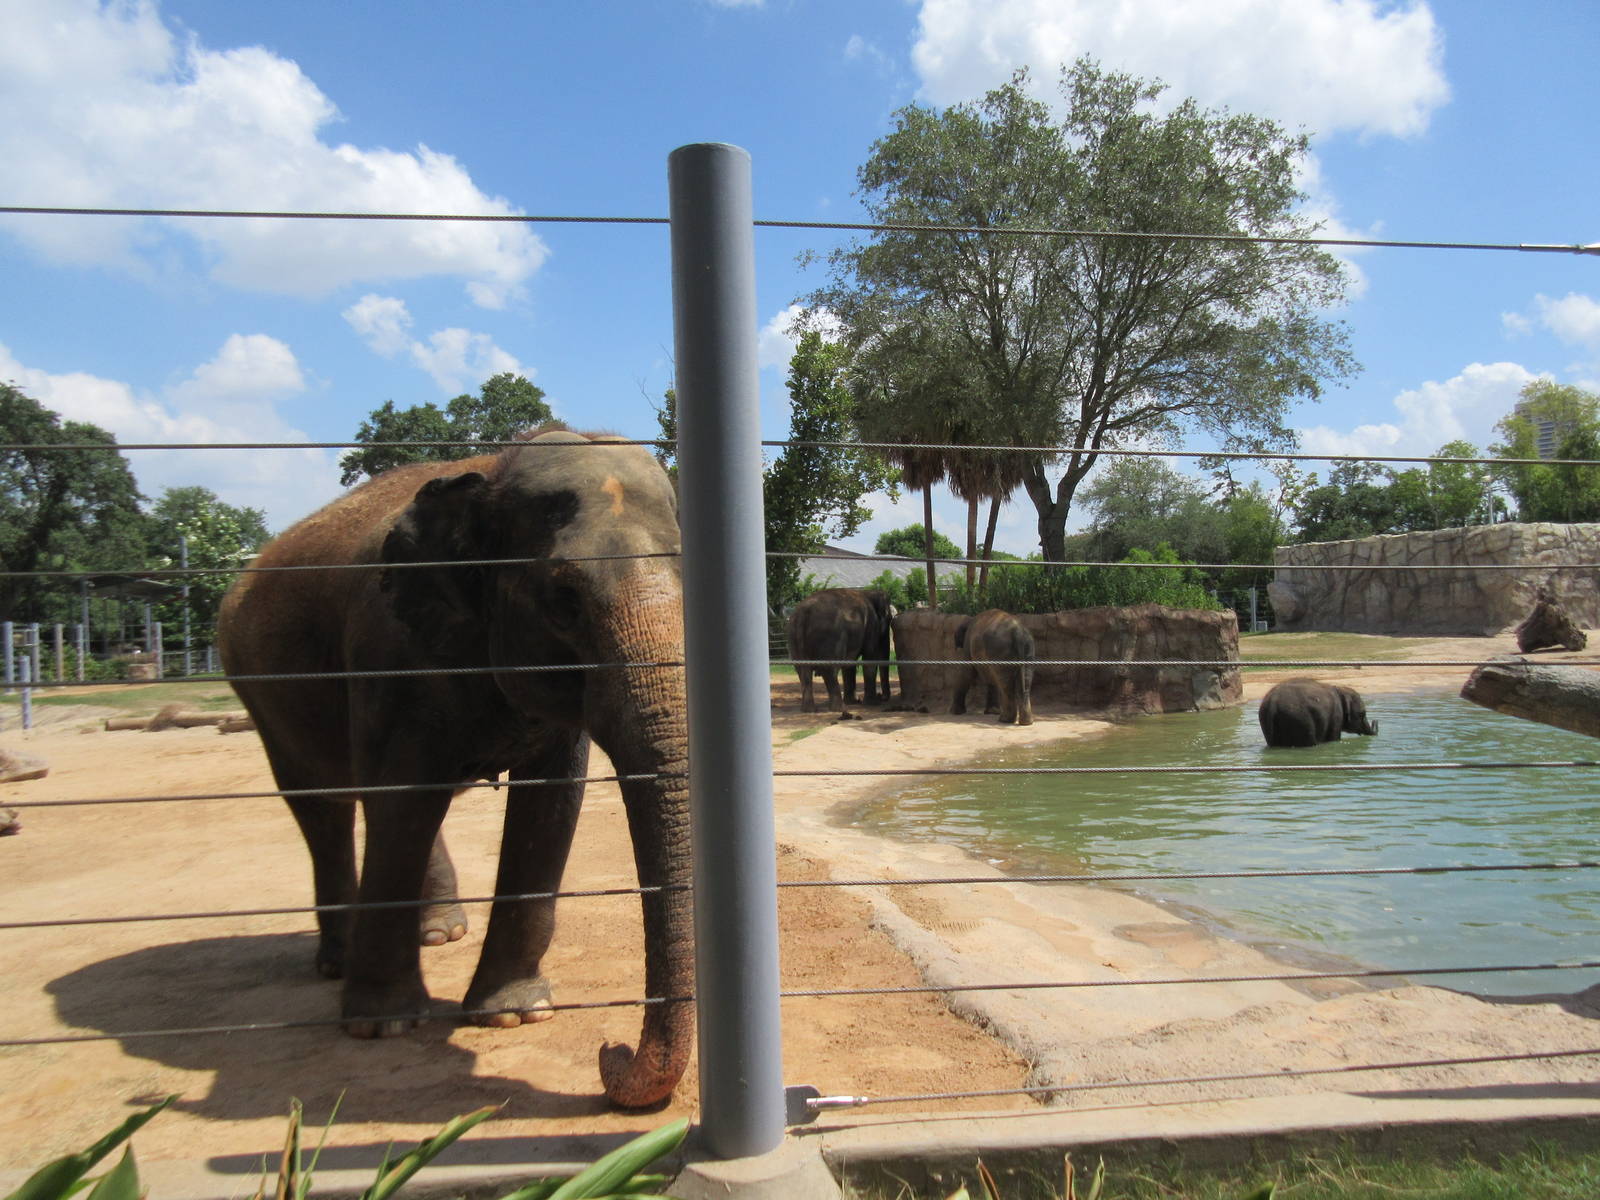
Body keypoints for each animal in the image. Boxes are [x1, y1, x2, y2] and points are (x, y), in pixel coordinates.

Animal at [216, 428, 691, 1109]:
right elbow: (404, 794)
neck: (499, 467)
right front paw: (382, 1024)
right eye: (565, 600)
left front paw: (513, 1013)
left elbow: (549, 805)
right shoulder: (388, 649)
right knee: (325, 807)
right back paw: (338, 960)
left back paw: (439, 934)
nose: (611, 1050)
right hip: (260, 691)